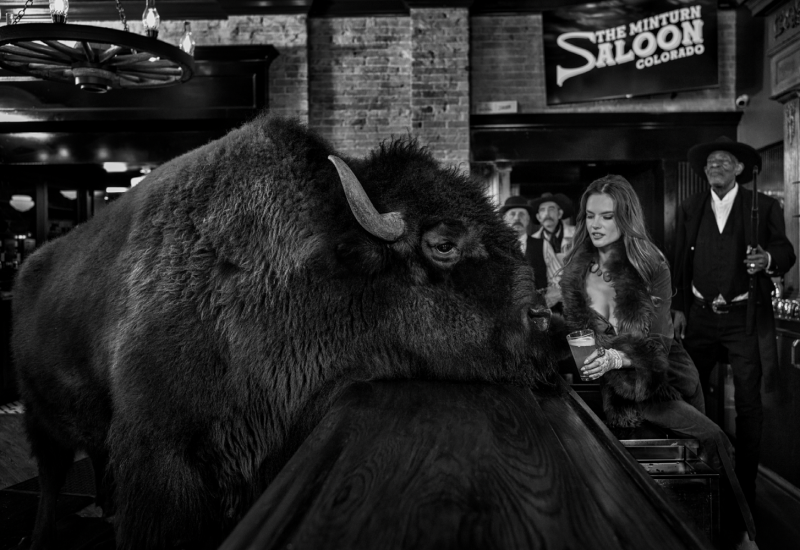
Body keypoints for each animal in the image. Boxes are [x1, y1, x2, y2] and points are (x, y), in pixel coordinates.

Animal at [14, 114, 556, 548]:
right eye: (443, 244)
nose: (545, 321)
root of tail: (31, 266)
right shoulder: (158, 459)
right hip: (42, 423)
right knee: (50, 477)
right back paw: (39, 536)